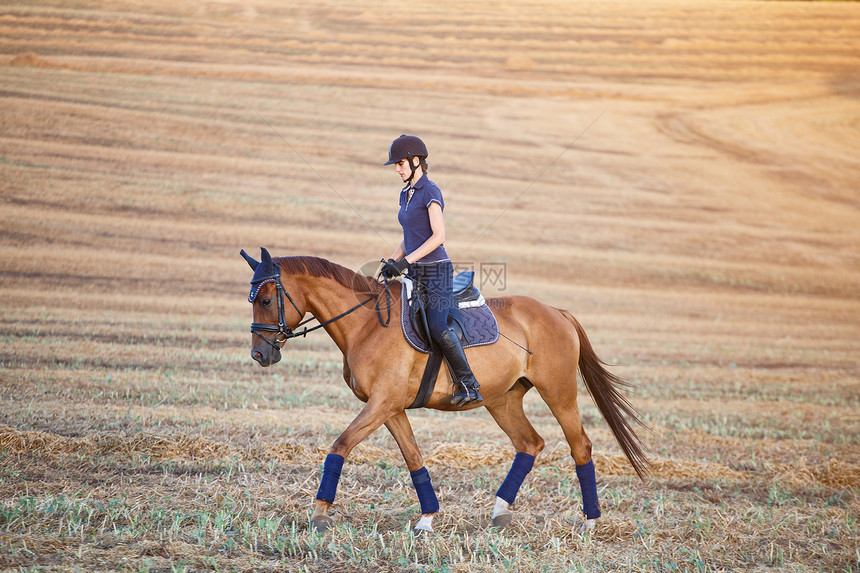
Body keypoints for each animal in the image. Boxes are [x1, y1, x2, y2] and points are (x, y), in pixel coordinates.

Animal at [240, 248, 644, 536]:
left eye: (265, 300)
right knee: (529, 443)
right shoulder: (390, 408)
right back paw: (500, 511)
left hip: (559, 393)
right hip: (502, 399)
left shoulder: (381, 404)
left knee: (580, 447)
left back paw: (590, 521)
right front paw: (427, 518)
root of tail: (557, 312)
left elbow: (339, 446)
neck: (367, 323)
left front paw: (320, 514)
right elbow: (414, 458)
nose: (259, 355)